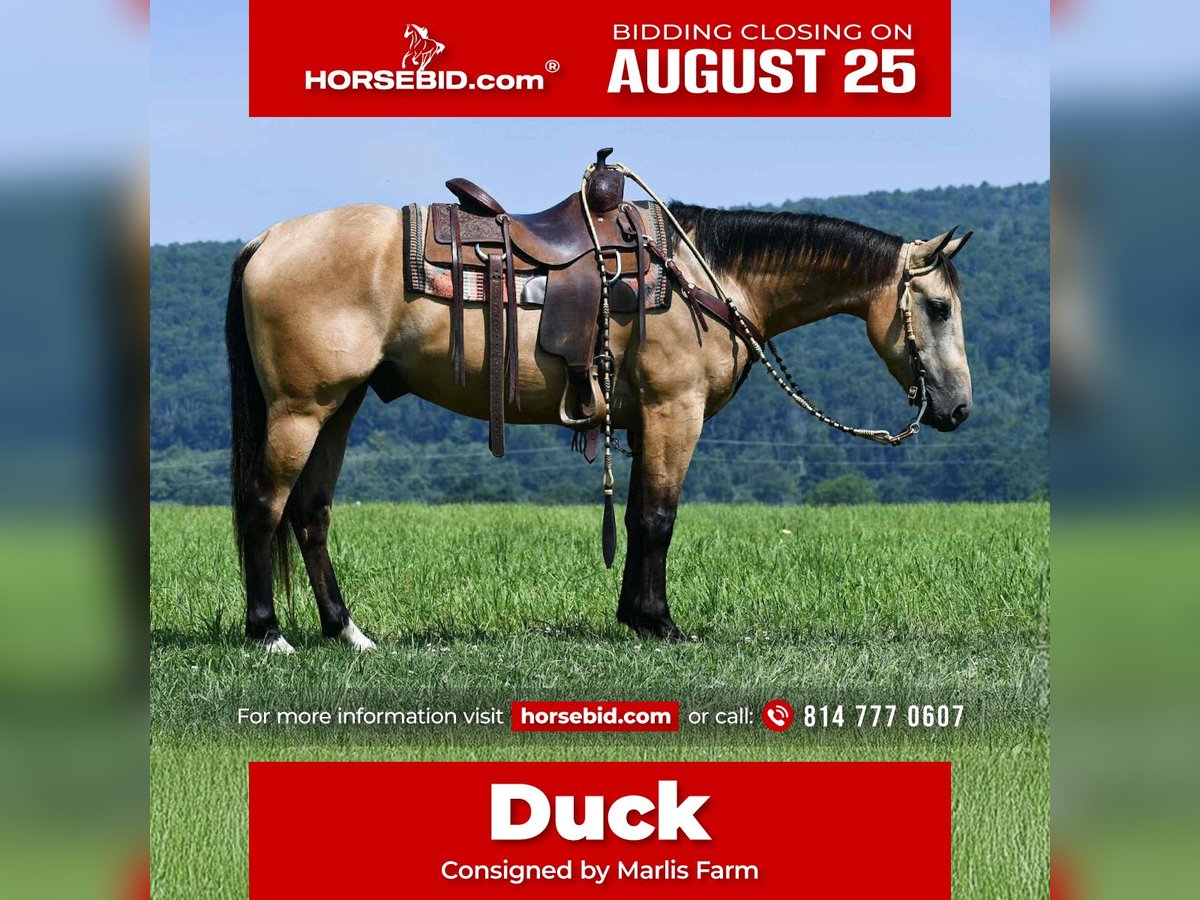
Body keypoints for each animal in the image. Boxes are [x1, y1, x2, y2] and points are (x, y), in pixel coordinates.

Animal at [224, 199, 974, 654]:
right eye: (937, 308)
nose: (959, 409)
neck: (709, 278)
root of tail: (269, 239)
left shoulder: (645, 422)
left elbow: (639, 514)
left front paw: (634, 616)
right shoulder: (676, 412)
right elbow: (659, 519)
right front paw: (662, 623)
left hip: (339, 407)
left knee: (311, 514)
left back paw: (347, 632)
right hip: (300, 409)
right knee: (263, 506)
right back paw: (269, 633)